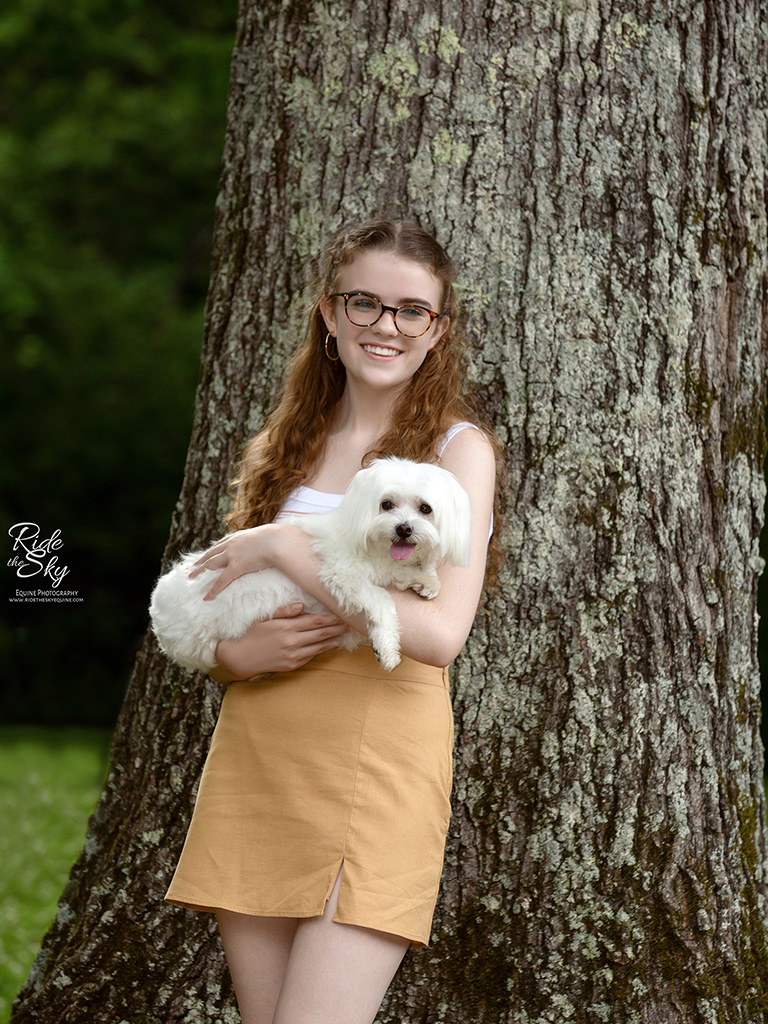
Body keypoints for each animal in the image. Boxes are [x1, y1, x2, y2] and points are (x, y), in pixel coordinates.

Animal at [149, 456, 473, 671]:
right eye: (386, 505)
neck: (376, 548)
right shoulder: (342, 575)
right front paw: (388, 648)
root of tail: (159, 611)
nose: (403, 529)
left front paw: (425, 580)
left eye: (425, 508)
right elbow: (382, 600)